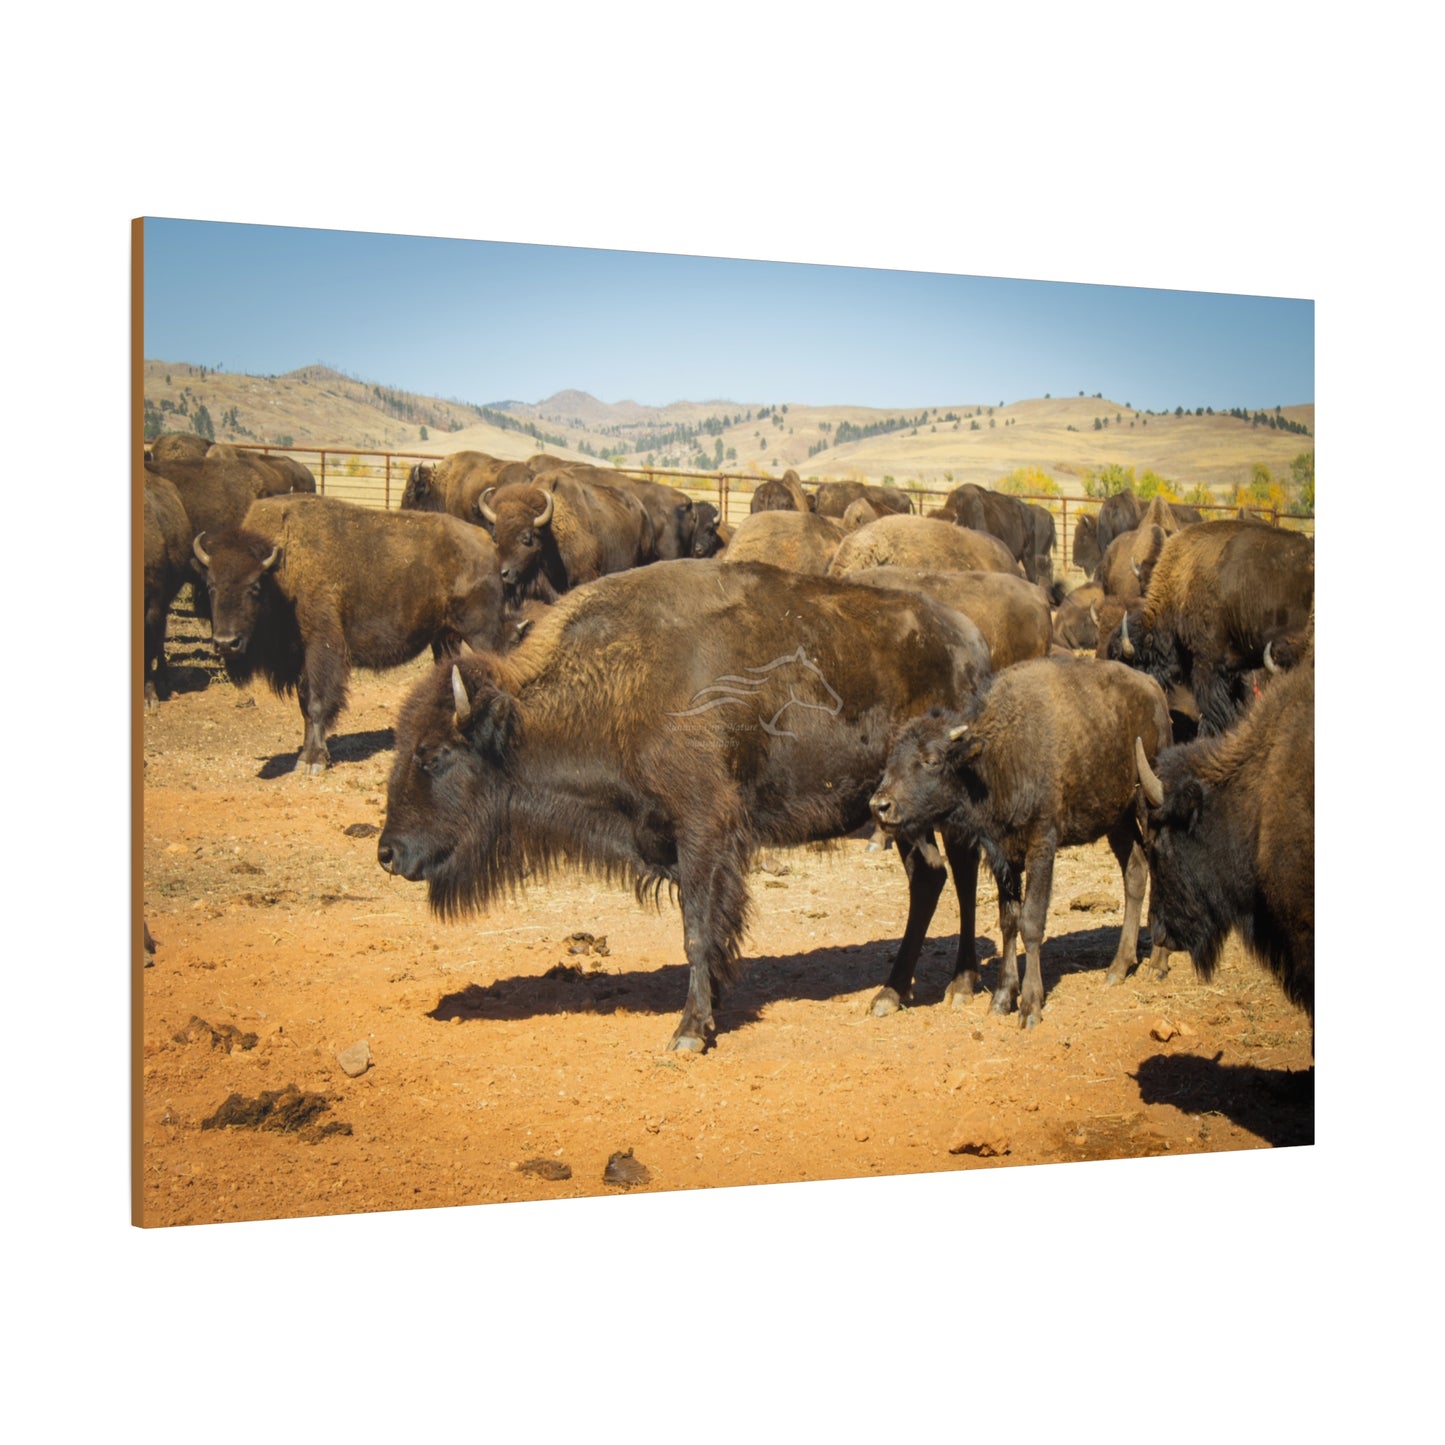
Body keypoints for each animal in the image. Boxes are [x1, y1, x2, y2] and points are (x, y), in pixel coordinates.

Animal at [191, 494, 506, 773]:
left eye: (255, 586)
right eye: (211, 585)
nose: (226, 643)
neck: (283, 564)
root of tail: (487, 542)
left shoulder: (322, 648)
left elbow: (317, 703)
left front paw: (313, 762)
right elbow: (304, 706)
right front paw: (309, 756)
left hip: (482, 634)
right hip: (444, 638)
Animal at [376, 559, 994, 1052]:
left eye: (433, 755)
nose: (388, 853)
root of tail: (973, 641)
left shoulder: (704, 832)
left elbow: (696, 930)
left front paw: (690, 1032)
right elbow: (710, 931)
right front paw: (712, 1006)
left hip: (945, 809)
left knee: (961, 873)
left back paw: (959, 986)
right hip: (900, 814)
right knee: (931, 876)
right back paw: (892, 992)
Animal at [870, 657, 1174, 1026]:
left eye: (930, 760)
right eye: (891, 760)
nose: (880, 805)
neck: (997, 755)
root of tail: (1152, 688)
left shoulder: (1041, 844)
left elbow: (1031, 920)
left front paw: (1030, 1006)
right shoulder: (1003, 854)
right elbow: (1009, 920)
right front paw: (1002, 998)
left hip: (1148, 804)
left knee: (1159, 867)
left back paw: (1158, 963)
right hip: (1118, 818)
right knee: (1135, 871)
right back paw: (1118, 967)